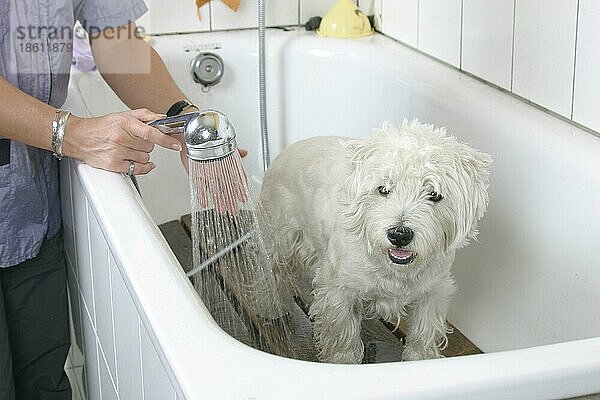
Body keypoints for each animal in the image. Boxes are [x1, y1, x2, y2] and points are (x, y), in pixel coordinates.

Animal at [260, 120, 490, 364]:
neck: (392, 267)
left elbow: (424, 332)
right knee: (274, 271)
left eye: (434, 194)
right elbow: (342, 333)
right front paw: (342, 362)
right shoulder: (339, 289)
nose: (399, 234)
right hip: (282, 237)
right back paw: (272, 309)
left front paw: (421, 360)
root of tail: (282, 153)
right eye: (383, 189)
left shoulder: (433, 290)